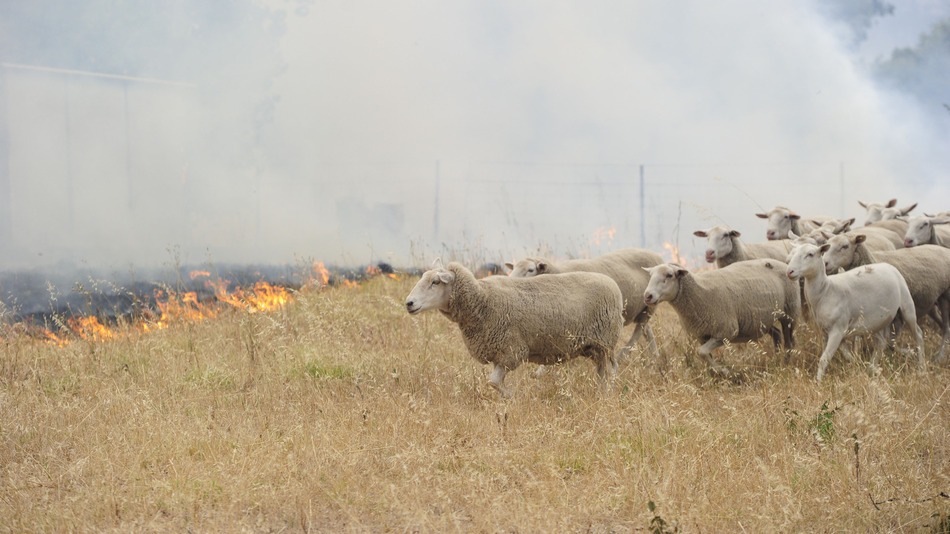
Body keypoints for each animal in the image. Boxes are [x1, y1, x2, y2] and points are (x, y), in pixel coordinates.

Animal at [406, 260, 628, 398]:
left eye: (435, 282)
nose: (409, 303)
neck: (482, 301)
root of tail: (613, 285)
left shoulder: (511, 351)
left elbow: (493, 382)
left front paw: (512, 396)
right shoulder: (500, 353)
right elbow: (492, 382)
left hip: (605, 342)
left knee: (611, 371)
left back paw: (608, 394)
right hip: (594, 347)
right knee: (601, 372)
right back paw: (600, 392)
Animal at [506, 250, 660, 360]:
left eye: (530, 270)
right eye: (513, 268)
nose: (509, 280)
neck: (558, 272)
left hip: (650, 305)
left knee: (639, 330)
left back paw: (623, 356)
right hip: (642, 309)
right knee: (647, 331)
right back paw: (655, 359)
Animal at [640, 258, 804, 376]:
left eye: (669, 275)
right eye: (650, 275)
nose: (647, 296)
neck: (698, 293)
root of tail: (782, 263)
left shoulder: (725, 332)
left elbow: (701, 352)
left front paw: (725, 372)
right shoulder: (702, 335)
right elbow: (705, 354)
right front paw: (714, 373)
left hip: (789, 314)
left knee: (789, 343)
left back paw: (785, 364)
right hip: (762, 320)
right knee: (776, 334)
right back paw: (775, 361)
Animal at [784, 243, 924, 382]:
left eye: (810, 254)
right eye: (793, 252)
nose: (789, 271)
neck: (826, 290)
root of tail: (888, 266)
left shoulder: (838, 329)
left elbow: (824, 359)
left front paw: (818, 382)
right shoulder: (825, 331)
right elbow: (843, 354)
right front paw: (857, 366)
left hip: (907, 305)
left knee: (918, 334)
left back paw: (921, 367)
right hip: (878, 319)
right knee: (881, 343)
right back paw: (873, 367)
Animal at [820, 233, 950, 360]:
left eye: (845, 246)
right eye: (827, 245)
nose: (825, 263)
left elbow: (887, 341)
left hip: (945, 297)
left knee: (946, 329)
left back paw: (939, 357)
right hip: (931, 303)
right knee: (941, 324)